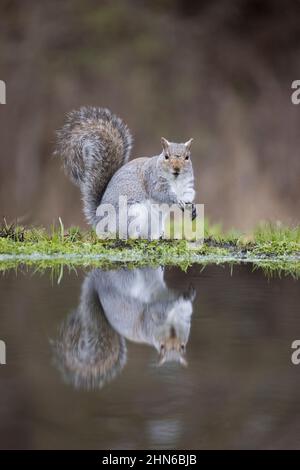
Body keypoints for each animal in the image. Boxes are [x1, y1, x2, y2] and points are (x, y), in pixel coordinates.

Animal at [55, 108, 197, 237]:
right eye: (166, 156)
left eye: (187, 157)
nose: (176, 169)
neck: (176, 180)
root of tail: (101, 222)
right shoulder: (153, 180)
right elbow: (161, 193)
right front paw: (177, 200)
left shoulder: (187, 184)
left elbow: (188, 194)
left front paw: (191, 207)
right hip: (134, 213)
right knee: (127, 233)